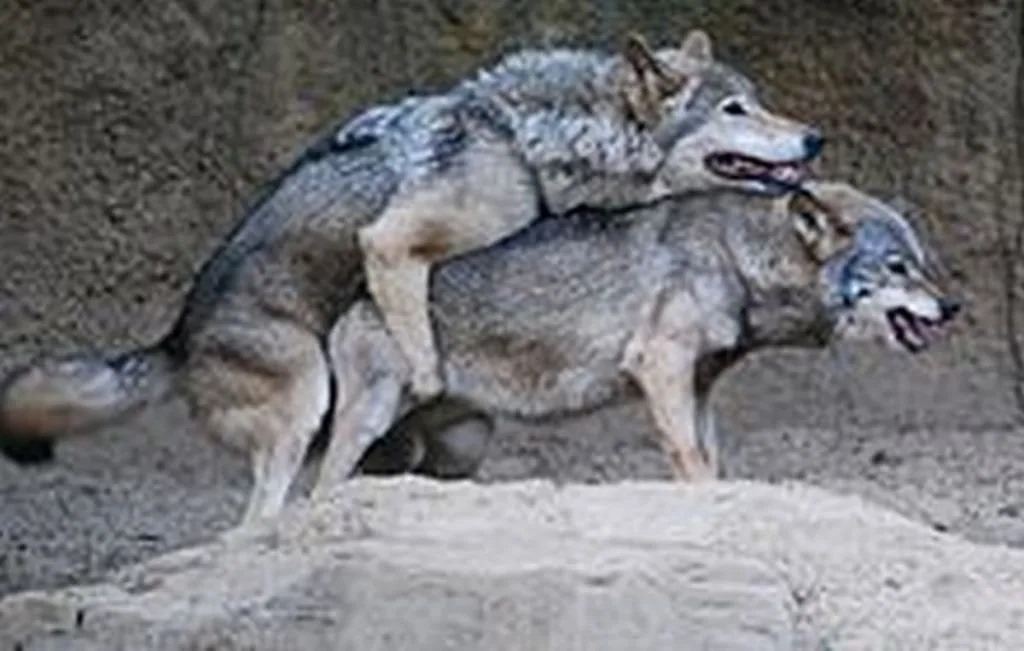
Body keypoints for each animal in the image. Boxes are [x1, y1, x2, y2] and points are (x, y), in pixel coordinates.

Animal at [0, 31, 823, 525]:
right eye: (736, 108)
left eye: (758, 100)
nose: (814, 137)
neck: (527, 142)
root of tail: (173, 338)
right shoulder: (392, 241)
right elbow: (412, 316)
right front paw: (425, 366)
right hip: (306, 397)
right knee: (267, 510)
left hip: (457, 440)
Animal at [313, 181, 962, 494]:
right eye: (899, 266)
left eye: (922, 263)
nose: (952, 306)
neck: (736, 257)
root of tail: (354, 300)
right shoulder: (660, 363)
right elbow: (691, 460)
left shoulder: (699, 386)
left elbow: (711, 460)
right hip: (373, 421)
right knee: (318, 487)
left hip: (459, 446)